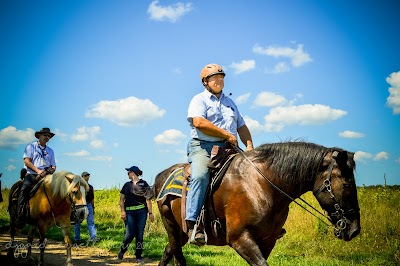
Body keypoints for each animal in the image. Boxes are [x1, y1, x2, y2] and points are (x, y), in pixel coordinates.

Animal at [155, 141, 360, 264]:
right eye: (347, 183)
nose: (354, 230)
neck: (261, 184)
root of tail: (161, 175)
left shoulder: (268, 240)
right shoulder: (240, 238)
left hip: (181, 232)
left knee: (168, 252)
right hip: (171, 225)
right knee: (177, 256)